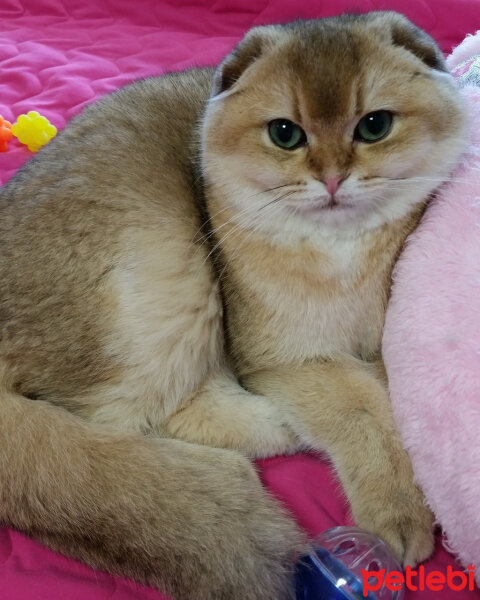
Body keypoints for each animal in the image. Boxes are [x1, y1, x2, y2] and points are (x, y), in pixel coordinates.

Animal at [0, 9, 466, 600]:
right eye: (285, 134)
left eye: (375, 126)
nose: (332, 178)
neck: (340, 253)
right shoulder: (282, 360)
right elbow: (365, 408)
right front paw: (399, 511)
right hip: (164, 275)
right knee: (133, 416)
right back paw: (277, 425)